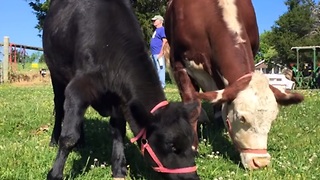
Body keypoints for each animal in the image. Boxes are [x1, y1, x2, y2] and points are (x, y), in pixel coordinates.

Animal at [166, 0, 304, 169]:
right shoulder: (178, 63)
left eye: (272, 119)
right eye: (242, 118)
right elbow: (192, 104)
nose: (260, 162)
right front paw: (192, 146)